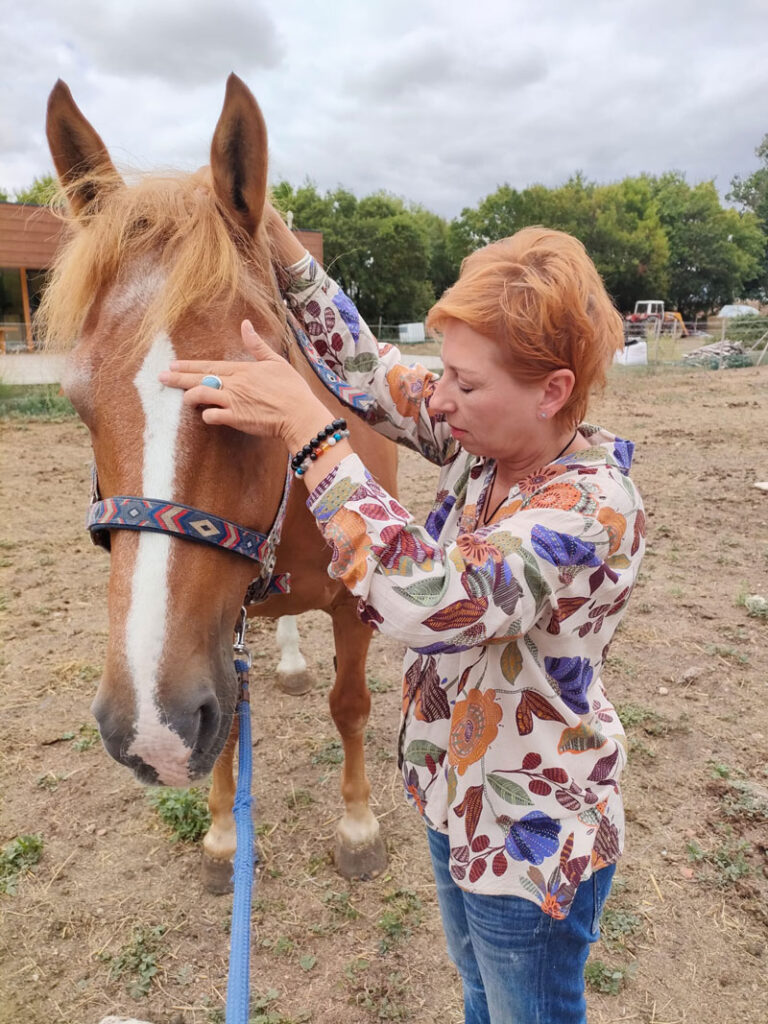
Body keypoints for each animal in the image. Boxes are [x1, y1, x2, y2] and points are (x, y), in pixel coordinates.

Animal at [42, 74, 399, 888]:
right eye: (77, 399)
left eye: (246, 393)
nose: (150, 730)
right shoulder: (217, 636)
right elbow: (231, 725)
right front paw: (220, 838)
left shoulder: (355, 607)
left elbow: (350, 704)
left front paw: (358, 828)